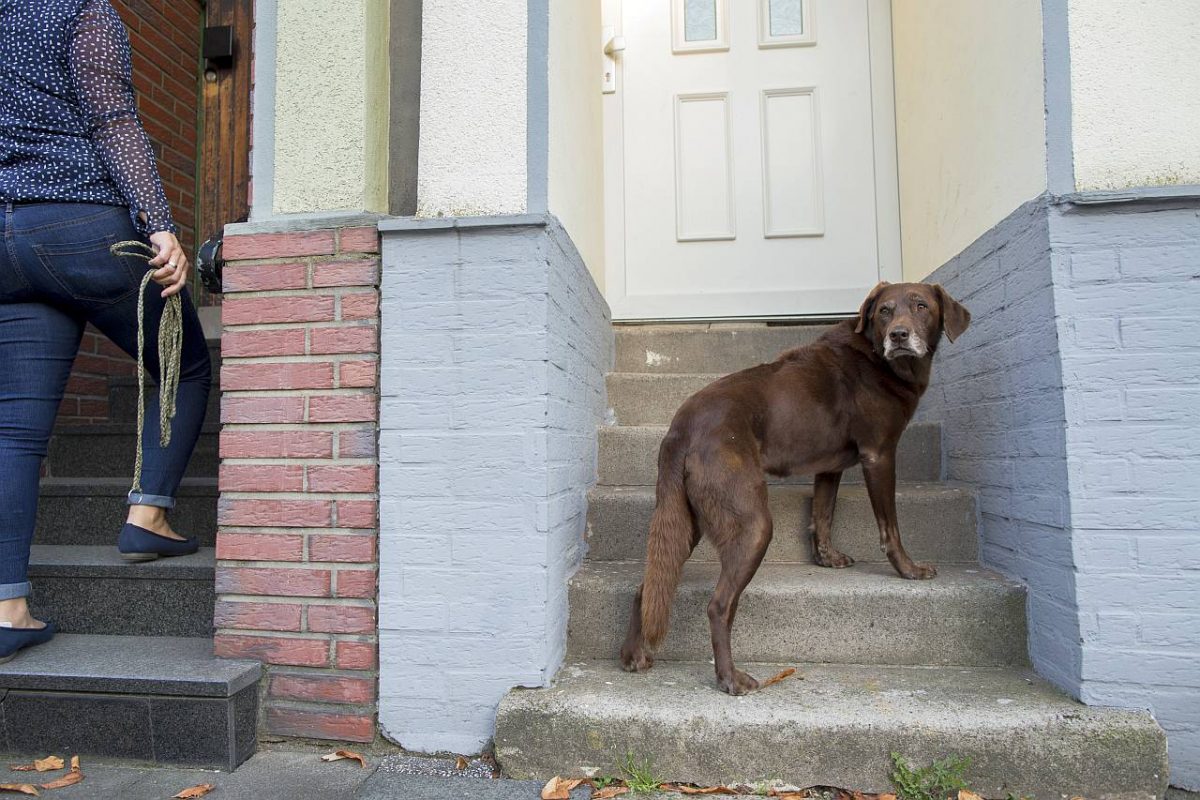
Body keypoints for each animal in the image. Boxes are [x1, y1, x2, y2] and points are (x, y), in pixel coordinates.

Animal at [624, 281, 969, 695]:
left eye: (921, 306)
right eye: (885, 310)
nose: (899, 335)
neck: (879, 358)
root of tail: (681, 426)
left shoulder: (829, 467)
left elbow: (822, 514)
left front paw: (827, 558)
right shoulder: (879, 455)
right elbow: (890, 527)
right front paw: (909, 570)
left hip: (687, 520)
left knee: (648, 585)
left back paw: (634, 657)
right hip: (751, 524)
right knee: (719, 605)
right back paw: (730, 678)